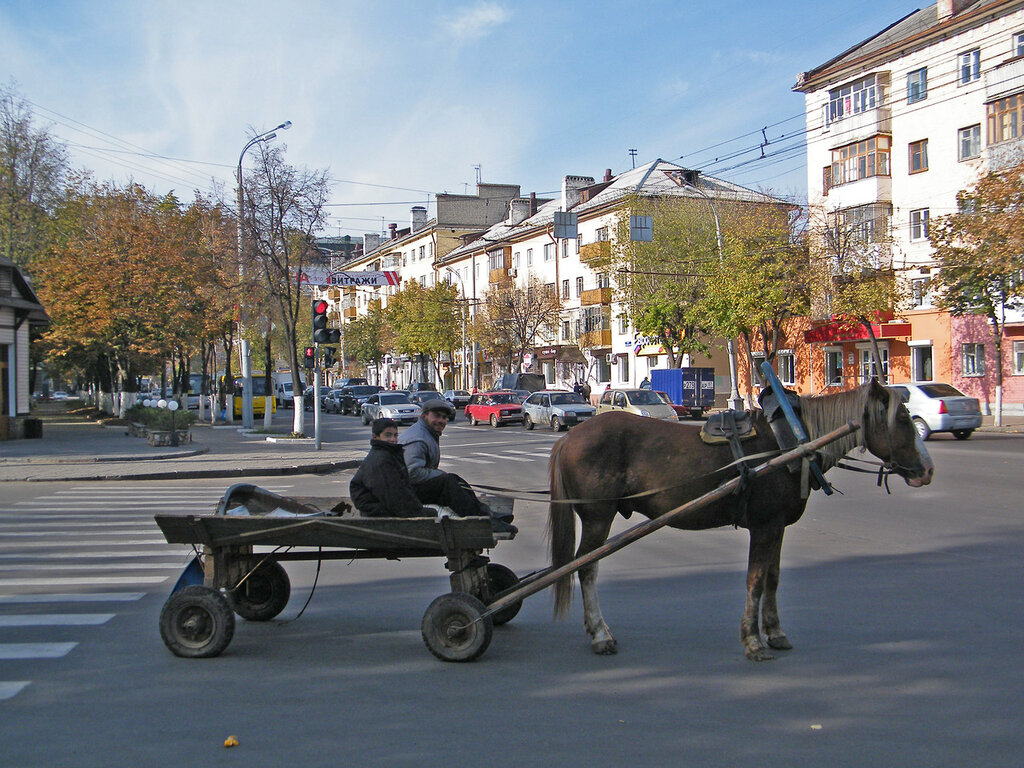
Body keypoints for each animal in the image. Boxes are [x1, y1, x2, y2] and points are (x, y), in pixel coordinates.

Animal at [552, 382, 937, 663]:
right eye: (902, 420)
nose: (928, 470)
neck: (787, 442)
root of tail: (570, 435)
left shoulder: (778, 527)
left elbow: (773, 579)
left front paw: (775, 632)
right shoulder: (764, 526)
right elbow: (755, 580)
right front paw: (753, 641)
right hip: (598, 519)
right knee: (586, 569)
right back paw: (600, 634)